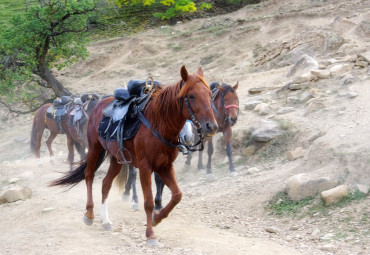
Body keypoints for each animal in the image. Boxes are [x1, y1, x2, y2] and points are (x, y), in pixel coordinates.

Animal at [49, 65, 217, 245]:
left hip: (117, 159)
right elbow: (148, 202)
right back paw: (89, 214)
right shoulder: (145, 167)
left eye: (209, 94)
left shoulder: (165, 166)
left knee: (106, 183)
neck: (159, 124)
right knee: (89, 175)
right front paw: (150, 234)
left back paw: (105, 220)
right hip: (94, 148)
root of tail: (100, 104)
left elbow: (177, 195)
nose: (211, 126)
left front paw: (157, 218)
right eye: (191, 96)